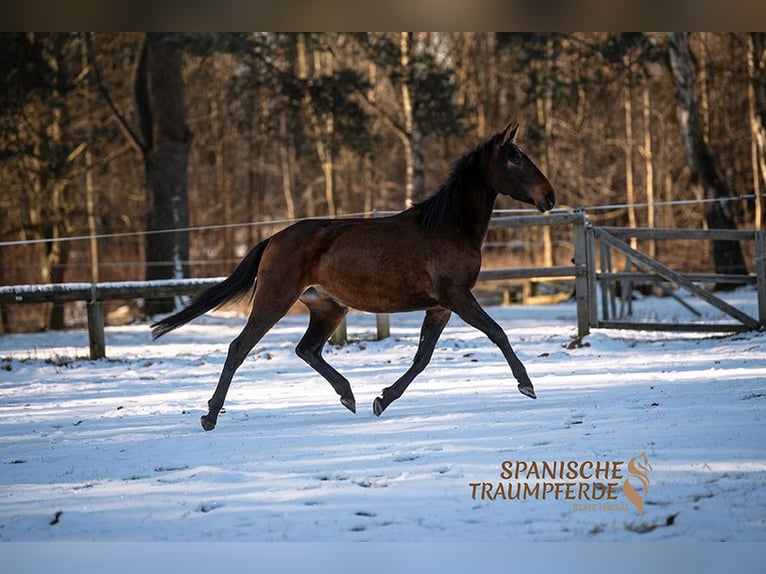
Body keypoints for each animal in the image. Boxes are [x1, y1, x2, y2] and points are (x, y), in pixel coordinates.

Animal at [152, 126, 560, 432]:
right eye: (516, 158)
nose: (550, 196)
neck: (447, 227)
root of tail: (274, 238)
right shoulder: (458, 297)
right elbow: (497, 332)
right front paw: (527, 385)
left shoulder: (441, 306)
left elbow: (423, 357)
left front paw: (382, 399)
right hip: (275, 298)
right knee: (240, 347)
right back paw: (209, 416)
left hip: (329, 309)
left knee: (307, 350)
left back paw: (348, 395)